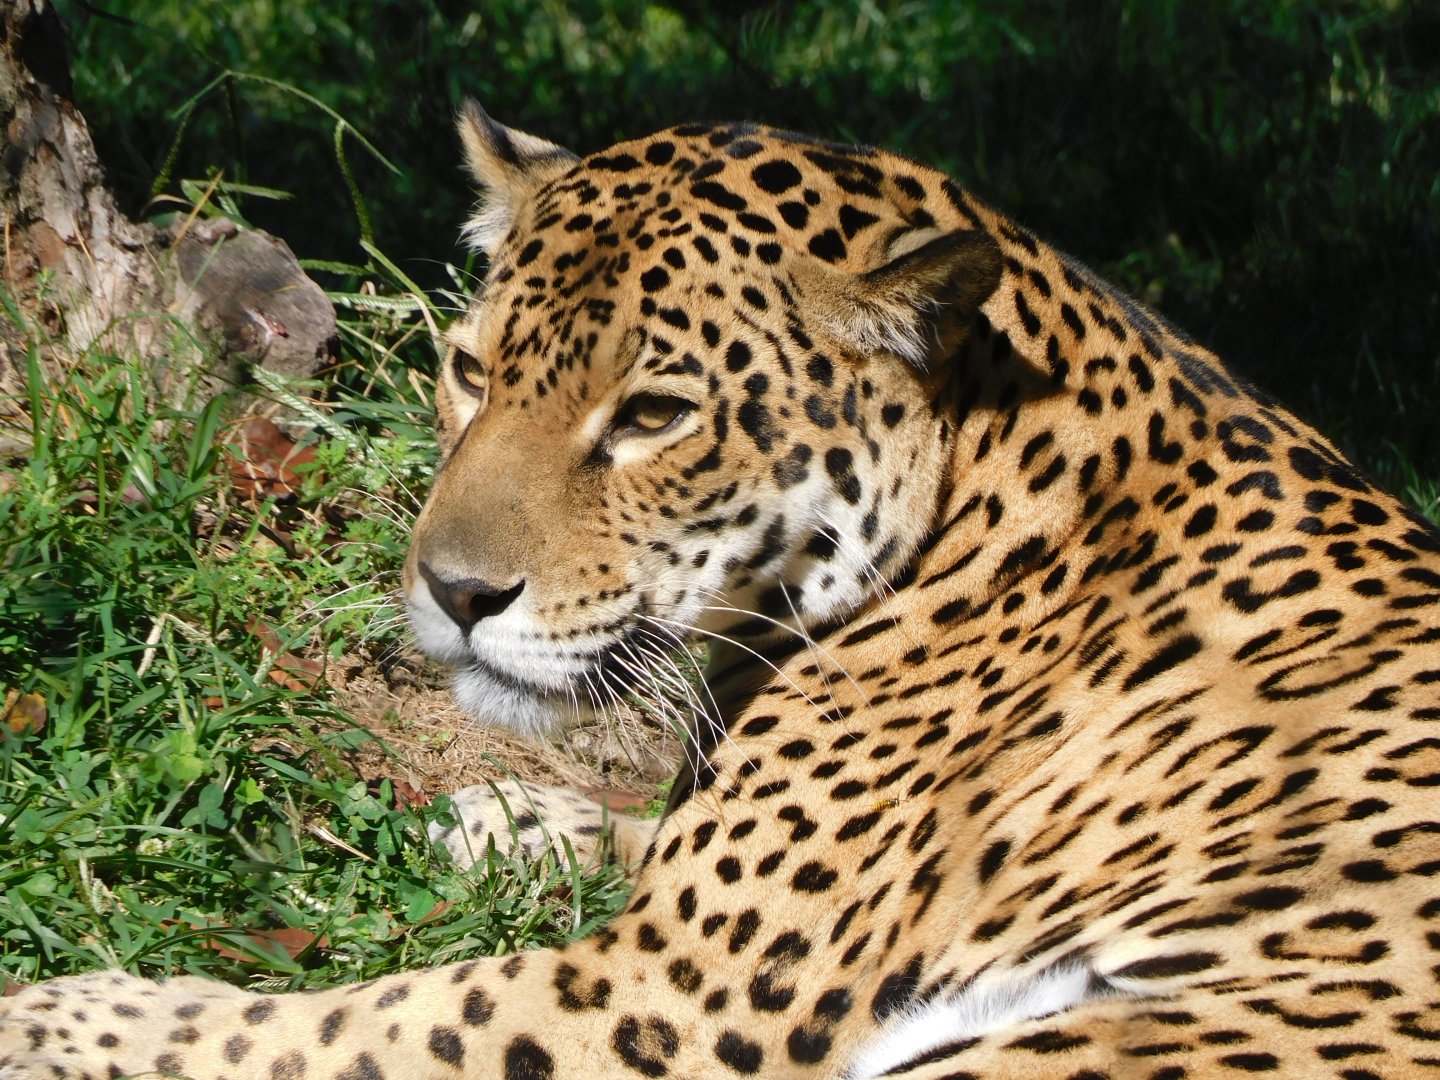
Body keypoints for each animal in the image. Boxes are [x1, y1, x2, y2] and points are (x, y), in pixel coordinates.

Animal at [3, 101, 1439, 1080]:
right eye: (472, 373)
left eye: (652, 415)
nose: (455, 594)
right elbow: (644, 832)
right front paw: (508, 819)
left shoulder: (675, 997)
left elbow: (353, 1023)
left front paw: (71, 1012)